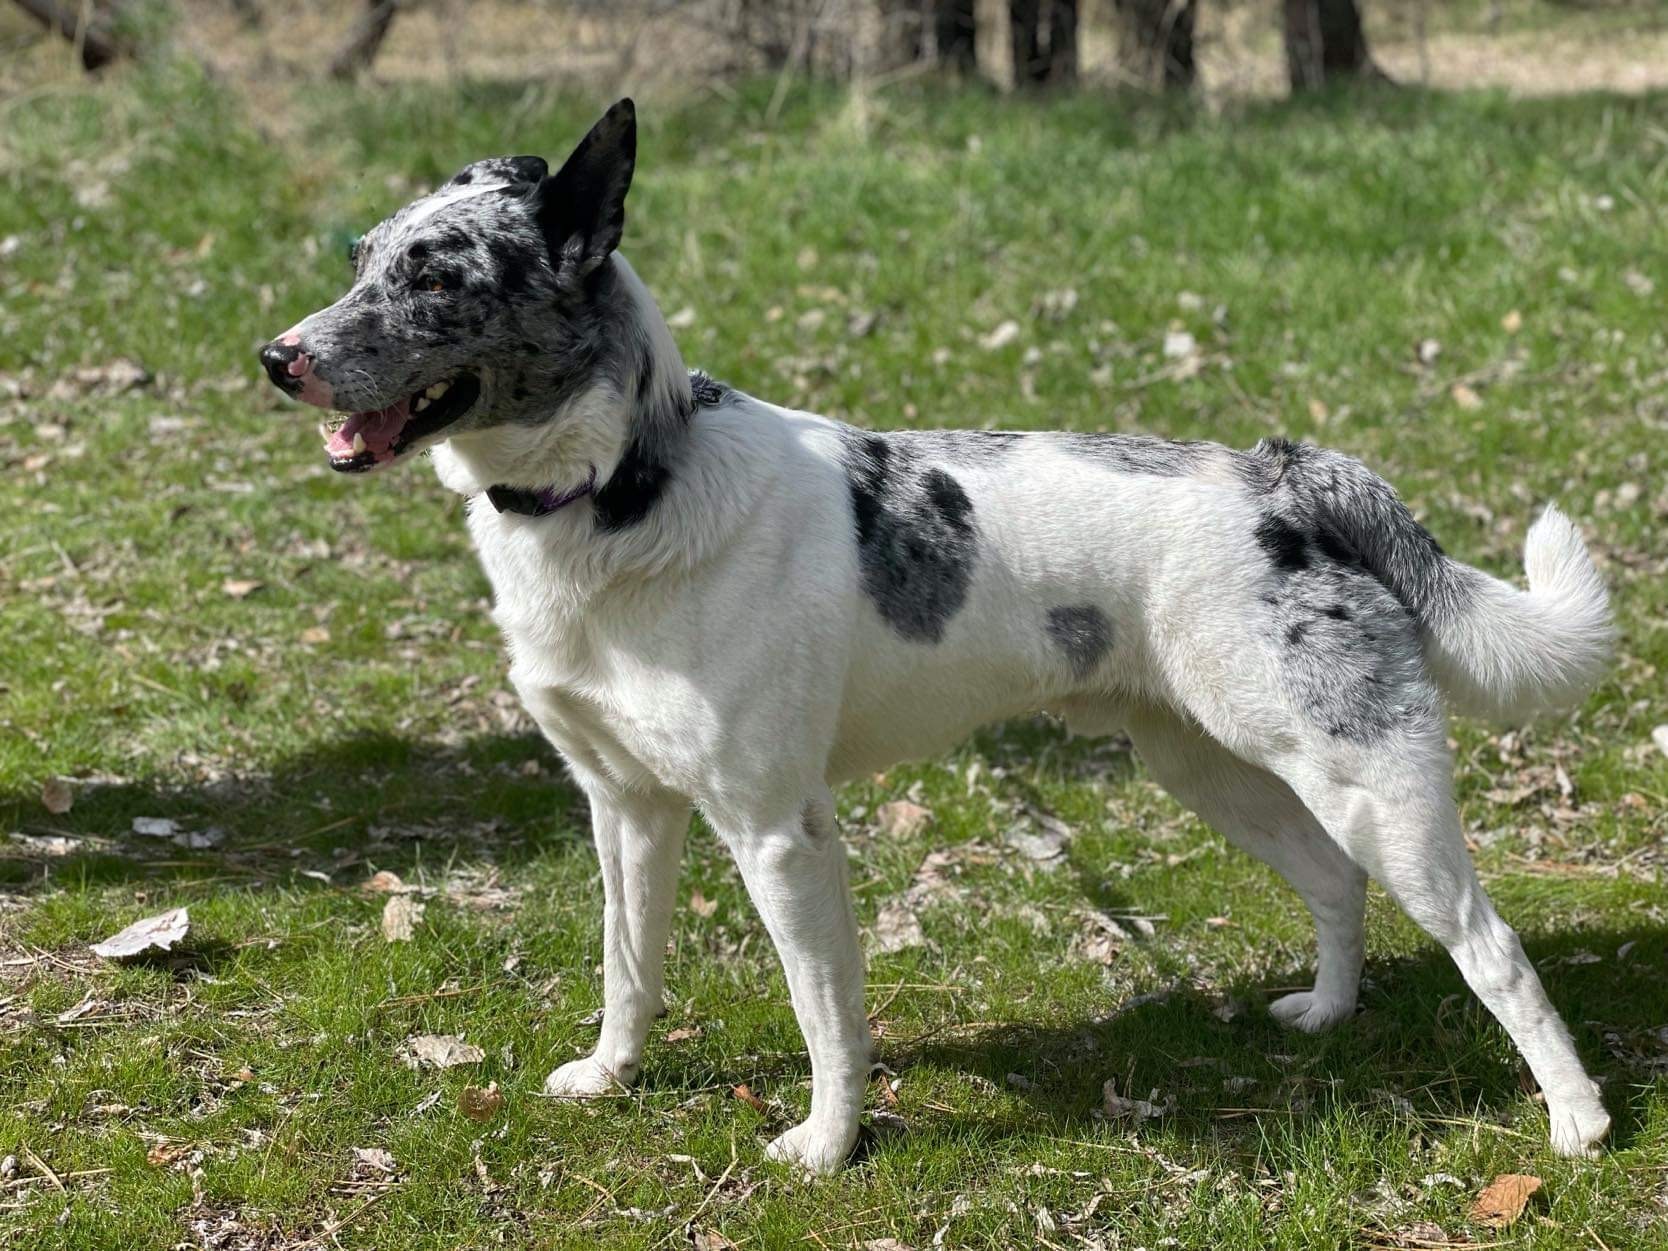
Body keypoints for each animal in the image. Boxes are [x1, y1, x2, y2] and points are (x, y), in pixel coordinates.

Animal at [260, 97, 1614, 1174]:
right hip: (1212, 767)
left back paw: (1581, 1123)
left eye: (439, 279)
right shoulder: (625, 808)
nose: (275, 358)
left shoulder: (779, 833)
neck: (629, 485)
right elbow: (626, 967)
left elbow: (826, 1018)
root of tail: (1285, 475)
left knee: (1493, 949)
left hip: (1371, 789)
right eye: (361, 260)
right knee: (1337, 886)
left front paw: (826, 1145)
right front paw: (611, 1076)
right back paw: (1329, 1017)